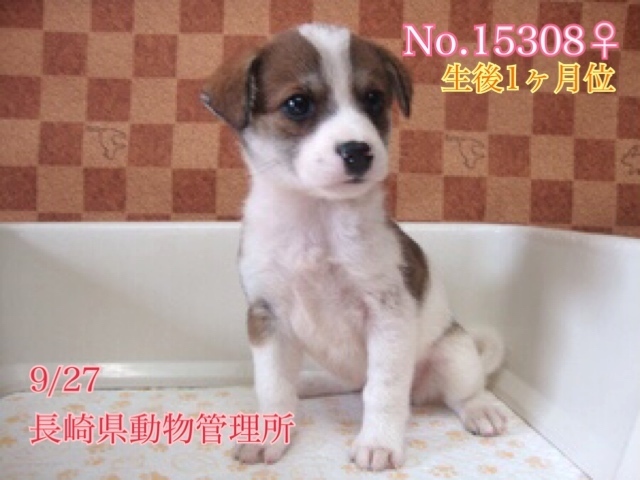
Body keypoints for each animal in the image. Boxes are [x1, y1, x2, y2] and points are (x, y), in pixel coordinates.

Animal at [201, 23, 507, 471]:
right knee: (345, 383)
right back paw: (311, 382)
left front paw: (379, 441)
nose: (357, 151)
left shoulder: (387, 314)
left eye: (374, 99)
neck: (318, 219)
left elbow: (383, 391)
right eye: (297, 104)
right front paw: (270, 432)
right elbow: (273, 386)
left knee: (463, 389)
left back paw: (480, 408)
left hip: (454, 355)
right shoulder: (267, 317)